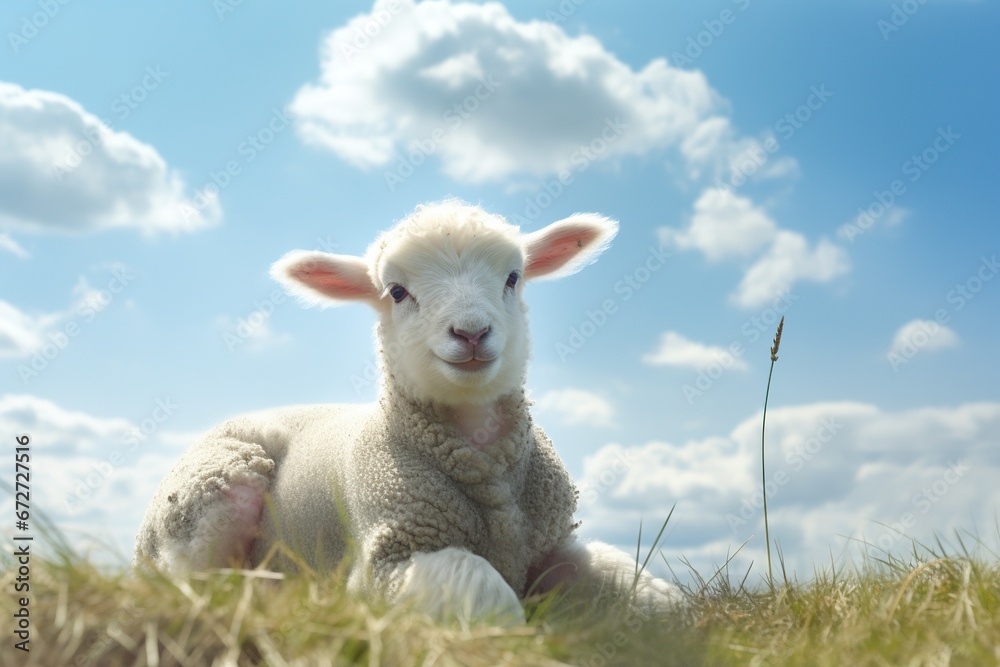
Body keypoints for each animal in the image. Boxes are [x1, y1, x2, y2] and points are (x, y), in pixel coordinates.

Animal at [134, 200, 683, 624]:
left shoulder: (551, 544)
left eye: (513, 278)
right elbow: (487, 597)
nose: (471, 332)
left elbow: (656, 604)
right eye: (397, 292)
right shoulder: (391, 557)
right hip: (213, 494)